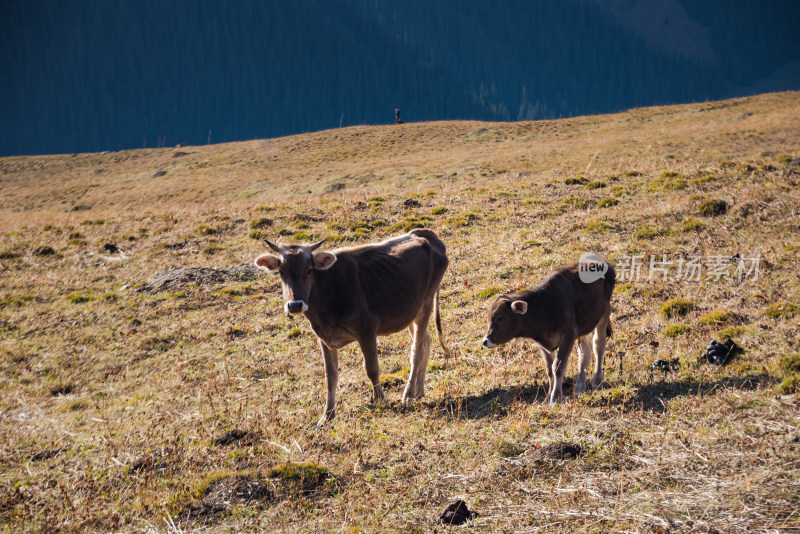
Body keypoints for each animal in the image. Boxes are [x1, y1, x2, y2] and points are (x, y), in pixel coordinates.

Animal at [256, 229, 456, 428]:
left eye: (309, 270)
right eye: (281, 272)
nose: (295, 305)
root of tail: (423, 234)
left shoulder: (366, 329)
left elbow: (372, 368)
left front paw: (380, 400)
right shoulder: (324, 338)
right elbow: (330, 377)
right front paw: (327, 415)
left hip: (426, 304)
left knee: (416, 350)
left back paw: (408, 395)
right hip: (410, 312)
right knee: (426, 342)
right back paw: (419, 391)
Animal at [478, 258, 616, 404]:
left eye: (499, 318)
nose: (485, 341)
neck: (545, 308)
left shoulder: (568, 334)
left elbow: (558, 367)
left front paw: (555, 397)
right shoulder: (545, 343)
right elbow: (549, 370)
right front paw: (549, 395)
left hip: (605, 311)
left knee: (598, 345)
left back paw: (597, 380)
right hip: (583, 326)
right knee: (585, 350)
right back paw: (579, 387)